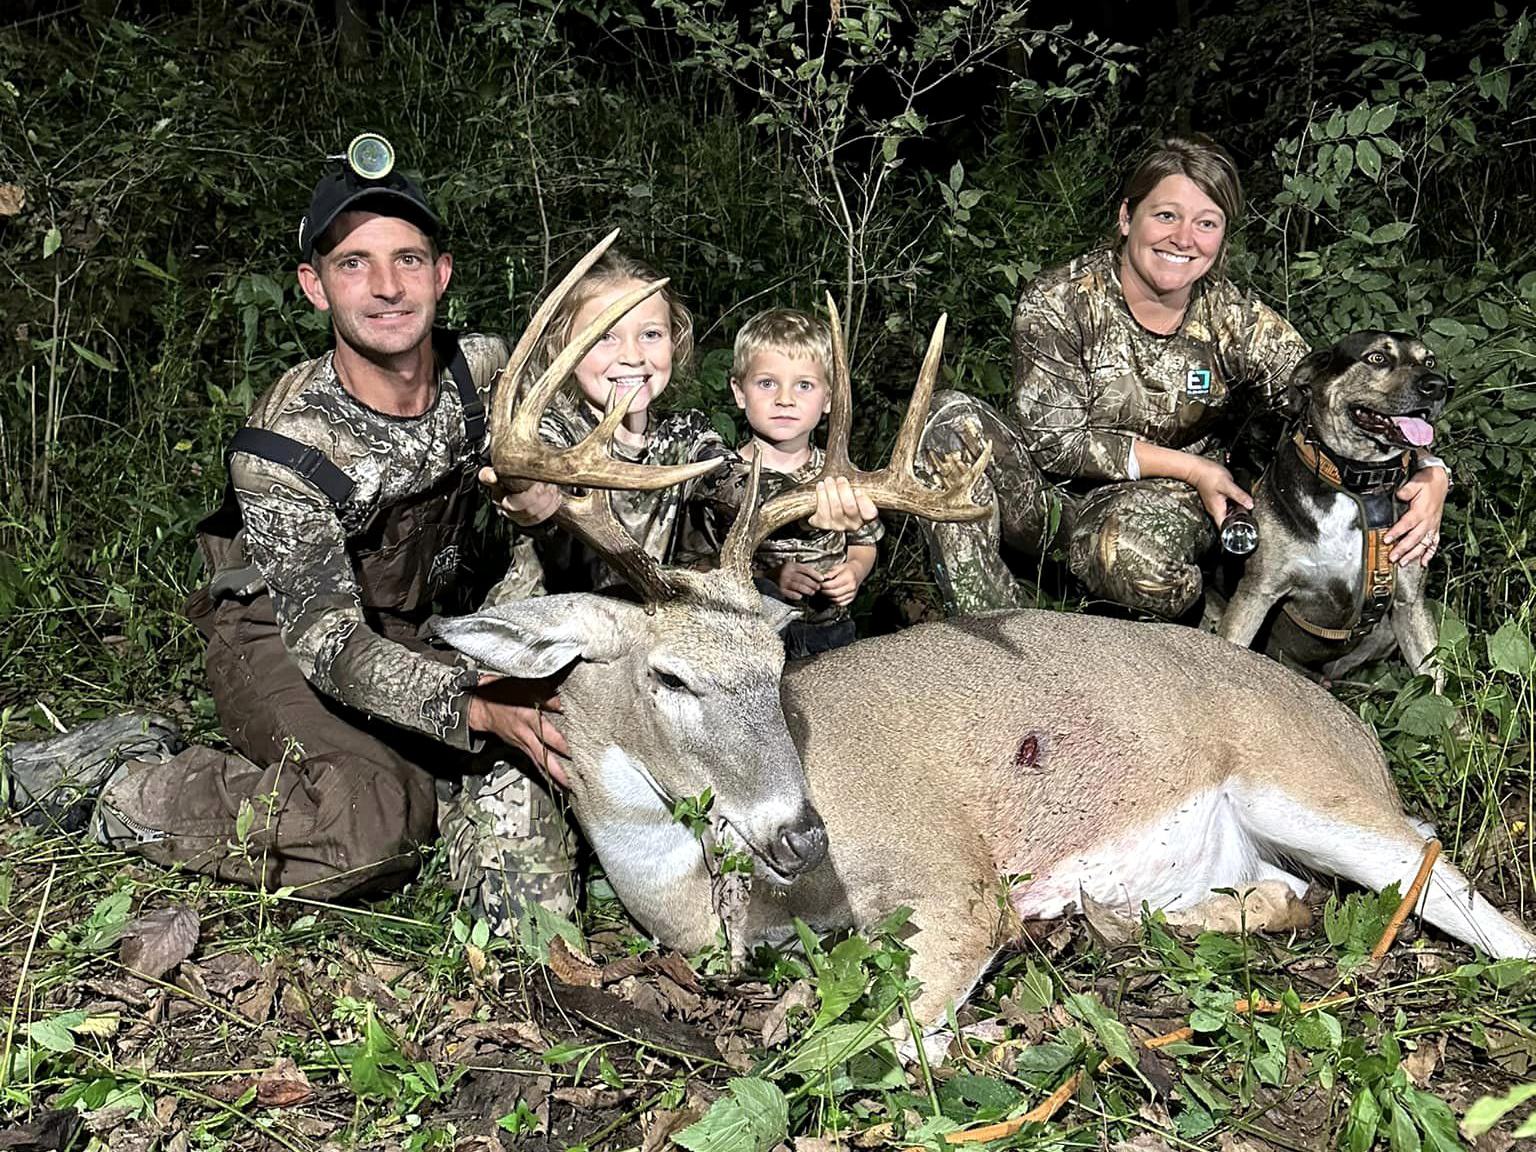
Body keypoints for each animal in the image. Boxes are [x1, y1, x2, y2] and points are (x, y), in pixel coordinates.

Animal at [1222, 333, 1449, 691]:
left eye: (1429, 361)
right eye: (1376, 358)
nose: (1438, 385)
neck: (1358, 484)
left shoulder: (1409, 603)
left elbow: (1436, 689)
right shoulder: (1257, 593)